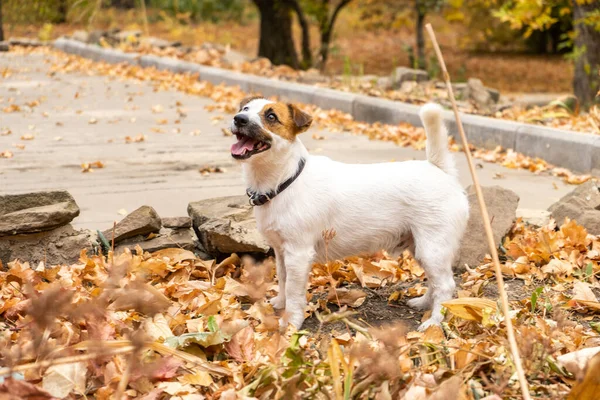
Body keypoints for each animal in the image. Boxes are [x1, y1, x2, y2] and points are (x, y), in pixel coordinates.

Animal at [230, 97, 468, 332]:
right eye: (245, 109)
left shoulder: (298, 254)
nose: (239, 119)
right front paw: (280, 303)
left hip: (432, 248)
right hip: (420, 248)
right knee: (435, 282)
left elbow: (294, 291)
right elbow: (282, 280)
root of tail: (439, 169)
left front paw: (291, 322)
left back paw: (434, 322)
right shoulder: (281, 251)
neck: (285, 178)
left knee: (445, 285)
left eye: (271, 116)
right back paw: (424, 303)